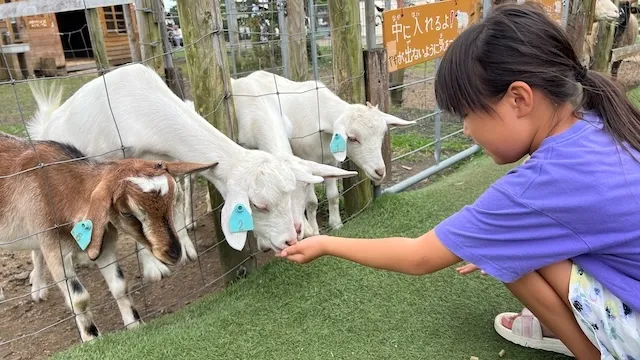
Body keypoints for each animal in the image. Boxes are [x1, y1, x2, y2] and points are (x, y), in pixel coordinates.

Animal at [0, 133, 215, 344]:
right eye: (127, 213)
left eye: (172, 200)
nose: (173, 252)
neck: (59, 192)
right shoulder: (55, 251)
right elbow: (79, 298)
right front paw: (92, 338)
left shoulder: (103, 245)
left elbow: (119, 285)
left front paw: (135, 324)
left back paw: (38, 288)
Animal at [23, 62, 336, 286]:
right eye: (258, 205)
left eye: (292, 193)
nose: (291, 240)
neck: (134, 109)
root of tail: (45, 126)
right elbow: (127, 219)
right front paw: (153, 268)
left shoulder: (162, 165)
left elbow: (172, 201)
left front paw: (184, 249)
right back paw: (38, 285)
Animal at [240, 70, 416, 233]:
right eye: (352, 138)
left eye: (382, 134)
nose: (379, 171)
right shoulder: (309, 162)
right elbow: (311, 202)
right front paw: (315, 230)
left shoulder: (331, 162)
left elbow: (333, 195)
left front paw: (336, 224)